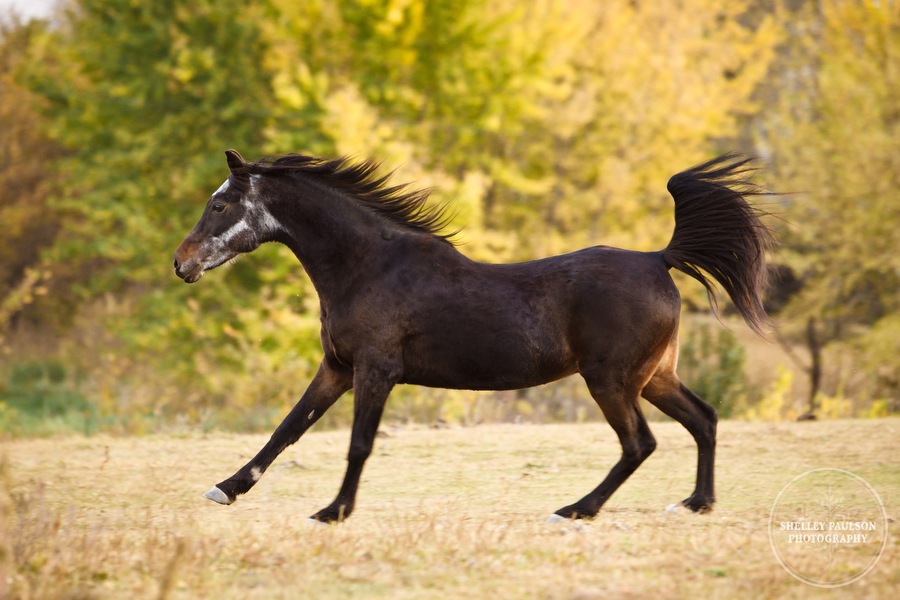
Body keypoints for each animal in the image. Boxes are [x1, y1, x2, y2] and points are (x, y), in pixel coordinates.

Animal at [174, 151, 772, 524]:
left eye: (220, 204)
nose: (181, 264)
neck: (369, 265)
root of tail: (659, 258)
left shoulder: (375, 371)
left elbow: (358, 443)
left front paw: (332, 512)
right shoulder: (337, 369)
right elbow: (287, 429)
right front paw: (226, 489)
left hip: (611, 381)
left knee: (639, 443)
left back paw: (574, 510)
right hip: (654, 378)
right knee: (703, 419)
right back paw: (695, 504)